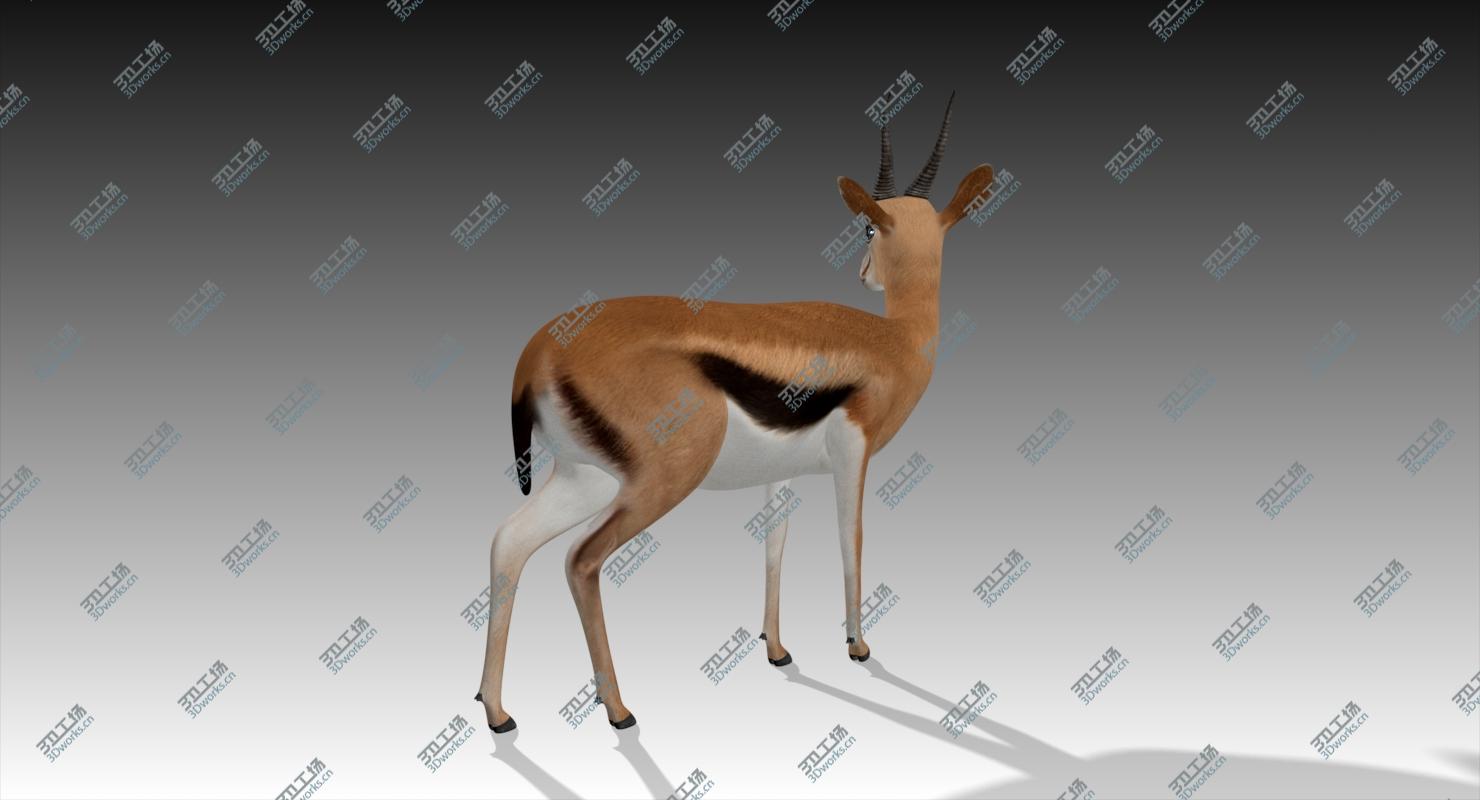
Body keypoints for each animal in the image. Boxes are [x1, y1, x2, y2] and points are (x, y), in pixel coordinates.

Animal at [476, 92, 993, 732]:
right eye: (867, 223)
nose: (864, 273)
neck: (892, 339)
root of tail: (540, 349)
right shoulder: (854, 451)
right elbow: (850, 538)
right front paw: (857, 646)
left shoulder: (783, 473)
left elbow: (775, 544)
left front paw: (777, 649)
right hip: (656, 484)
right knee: (580, 561)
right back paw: (618, 709)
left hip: (585, 478)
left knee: (508, 542)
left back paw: (497, 710)